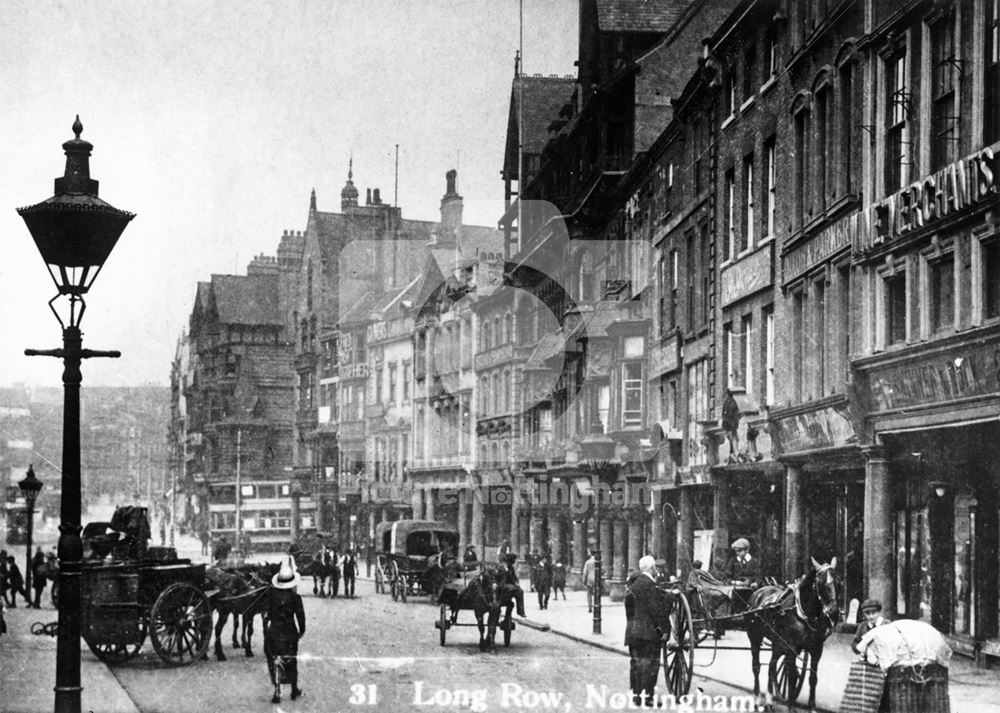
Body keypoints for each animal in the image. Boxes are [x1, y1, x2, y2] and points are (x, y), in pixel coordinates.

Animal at [748, 556, 840, 708]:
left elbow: (812, 678)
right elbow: (791, 678)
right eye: (820, 583)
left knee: (772, 666)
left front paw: (812, 706)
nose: (834, 612)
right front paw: (791, 705)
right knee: (756, 667)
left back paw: (769, 700)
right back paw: (757, 698)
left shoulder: (816, 649)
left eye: (838, 582)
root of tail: (758, 591)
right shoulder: (791, 648)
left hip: (777, 643)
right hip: (755, 638)